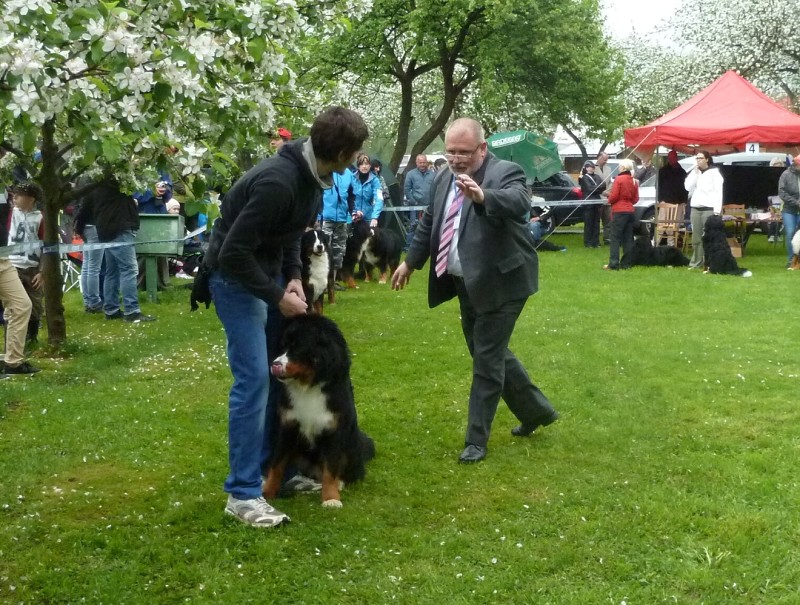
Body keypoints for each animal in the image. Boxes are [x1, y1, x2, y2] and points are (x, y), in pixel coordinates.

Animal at [262, 314, 376, 508]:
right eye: (283, 346)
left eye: (297, 348)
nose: (274, 364)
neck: (308, 387)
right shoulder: (287, 428)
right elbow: (276, 465)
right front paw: (267, 492)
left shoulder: (333, 430)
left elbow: (330, 469)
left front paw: (331, 498)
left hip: (351, 448)